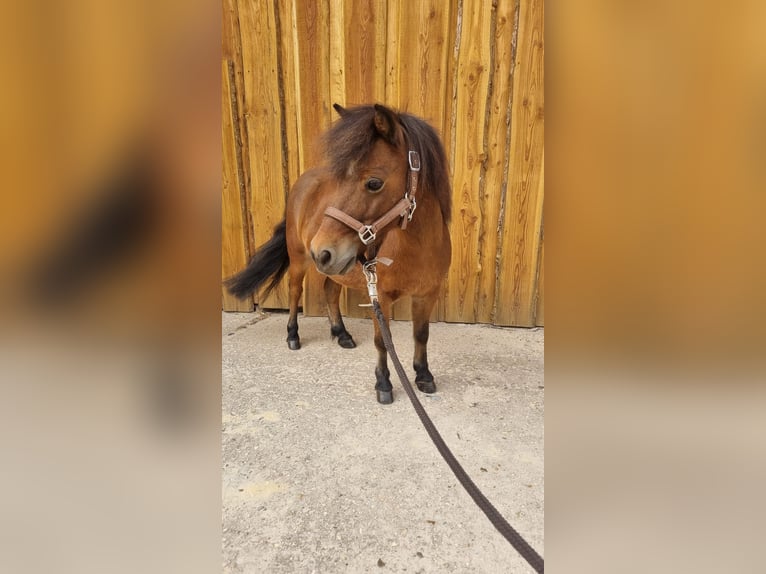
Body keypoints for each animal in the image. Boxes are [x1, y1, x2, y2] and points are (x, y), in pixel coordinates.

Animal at [225, 106, 452, 408]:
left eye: (374, 183)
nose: (321, 250)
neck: (417, 248)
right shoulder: (380, 296)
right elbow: (383, 341)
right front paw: (383, 383)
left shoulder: (427, 294)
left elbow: (421, 334)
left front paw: (424, 375)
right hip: (300, 260)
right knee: (295, 293)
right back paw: (293, 335)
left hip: (337, 267)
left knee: (330, 291)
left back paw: (341, 333)